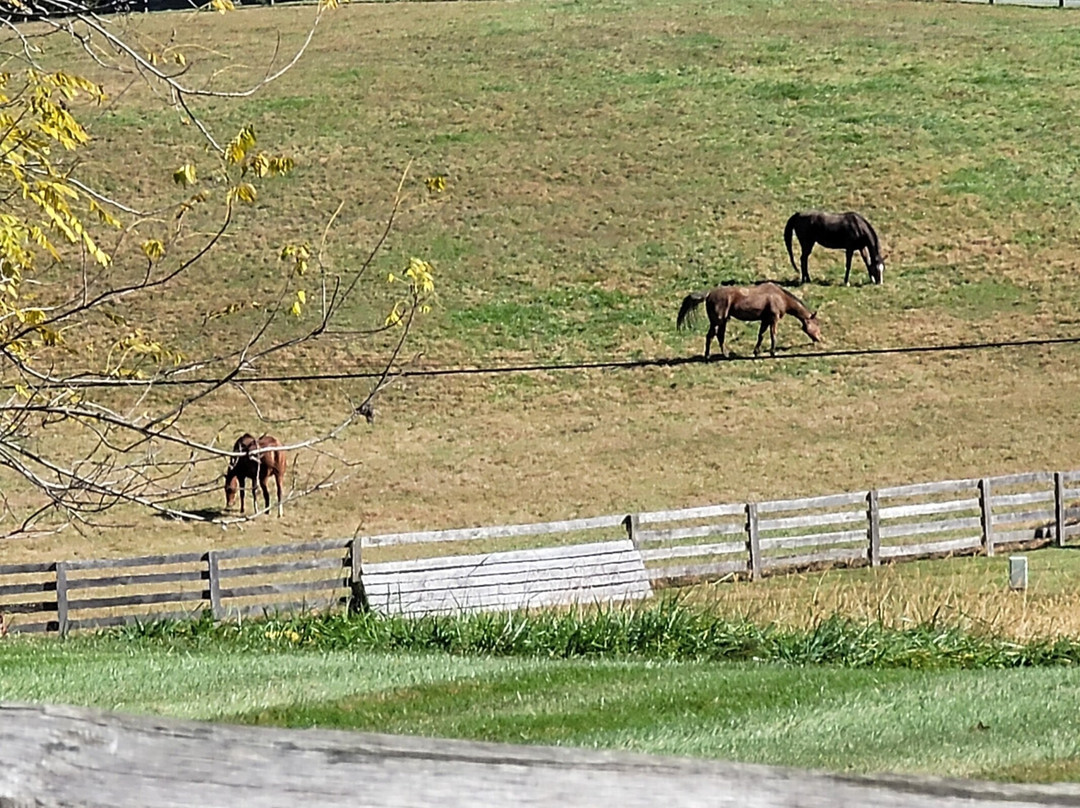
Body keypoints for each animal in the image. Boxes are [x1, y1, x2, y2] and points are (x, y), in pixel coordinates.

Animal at [678, 283, 820, 360]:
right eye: (817, 325)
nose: (818, 339)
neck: (780, 296)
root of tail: (709, 294)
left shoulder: (765, 320)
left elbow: (761, 335)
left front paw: (756, 352)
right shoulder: (773, 319)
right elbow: (773, 335)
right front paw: (773, 352)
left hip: (722, 321)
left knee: (719, 336)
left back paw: (725, 355)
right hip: (718, 321)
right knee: (711, 336)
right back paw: (708, 356)